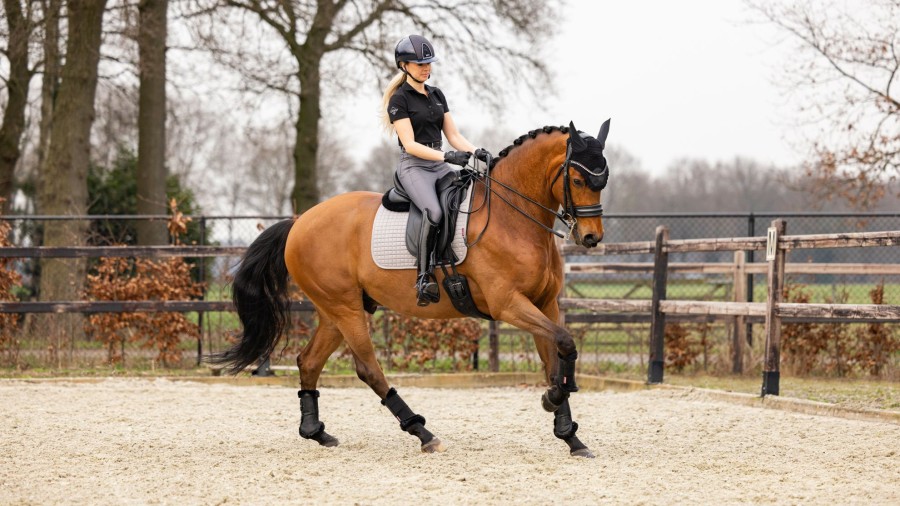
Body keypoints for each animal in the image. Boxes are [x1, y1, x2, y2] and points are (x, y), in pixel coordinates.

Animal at [209, 119, 612, 458]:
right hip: (345, 310)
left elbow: (555, 356)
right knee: (368, 369)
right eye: (578, 181)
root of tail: (299, 222)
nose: (591, 238)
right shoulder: (509, 304)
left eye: (603, 180)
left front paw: (570, 434)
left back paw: (316, 432)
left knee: (308, 362)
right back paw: (422, 433)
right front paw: (554, 400)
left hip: (335, 311)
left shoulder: (545, 304)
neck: (512, 217)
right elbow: (565, 344)